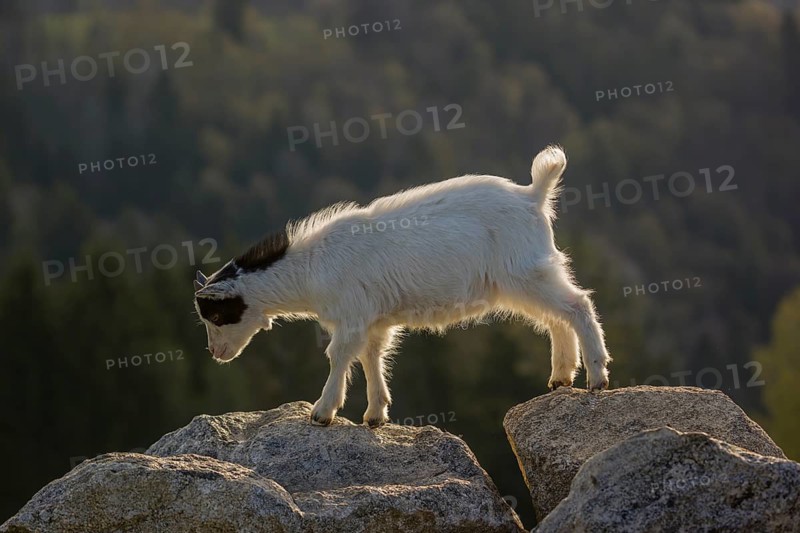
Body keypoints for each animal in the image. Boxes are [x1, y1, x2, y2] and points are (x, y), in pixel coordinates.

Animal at [194, 146, 611, 427]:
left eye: (217, 315)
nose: (214, 353)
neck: (312, 266)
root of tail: (532, 195)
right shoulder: (374, 319)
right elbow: (371, 356)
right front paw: (375, 415)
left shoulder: (352, 315)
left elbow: (340, 355)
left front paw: (322, 412)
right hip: (522, 279)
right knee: (555, 318)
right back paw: (561, 377)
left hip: (524, 272)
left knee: (577, 305)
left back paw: (597, 378)